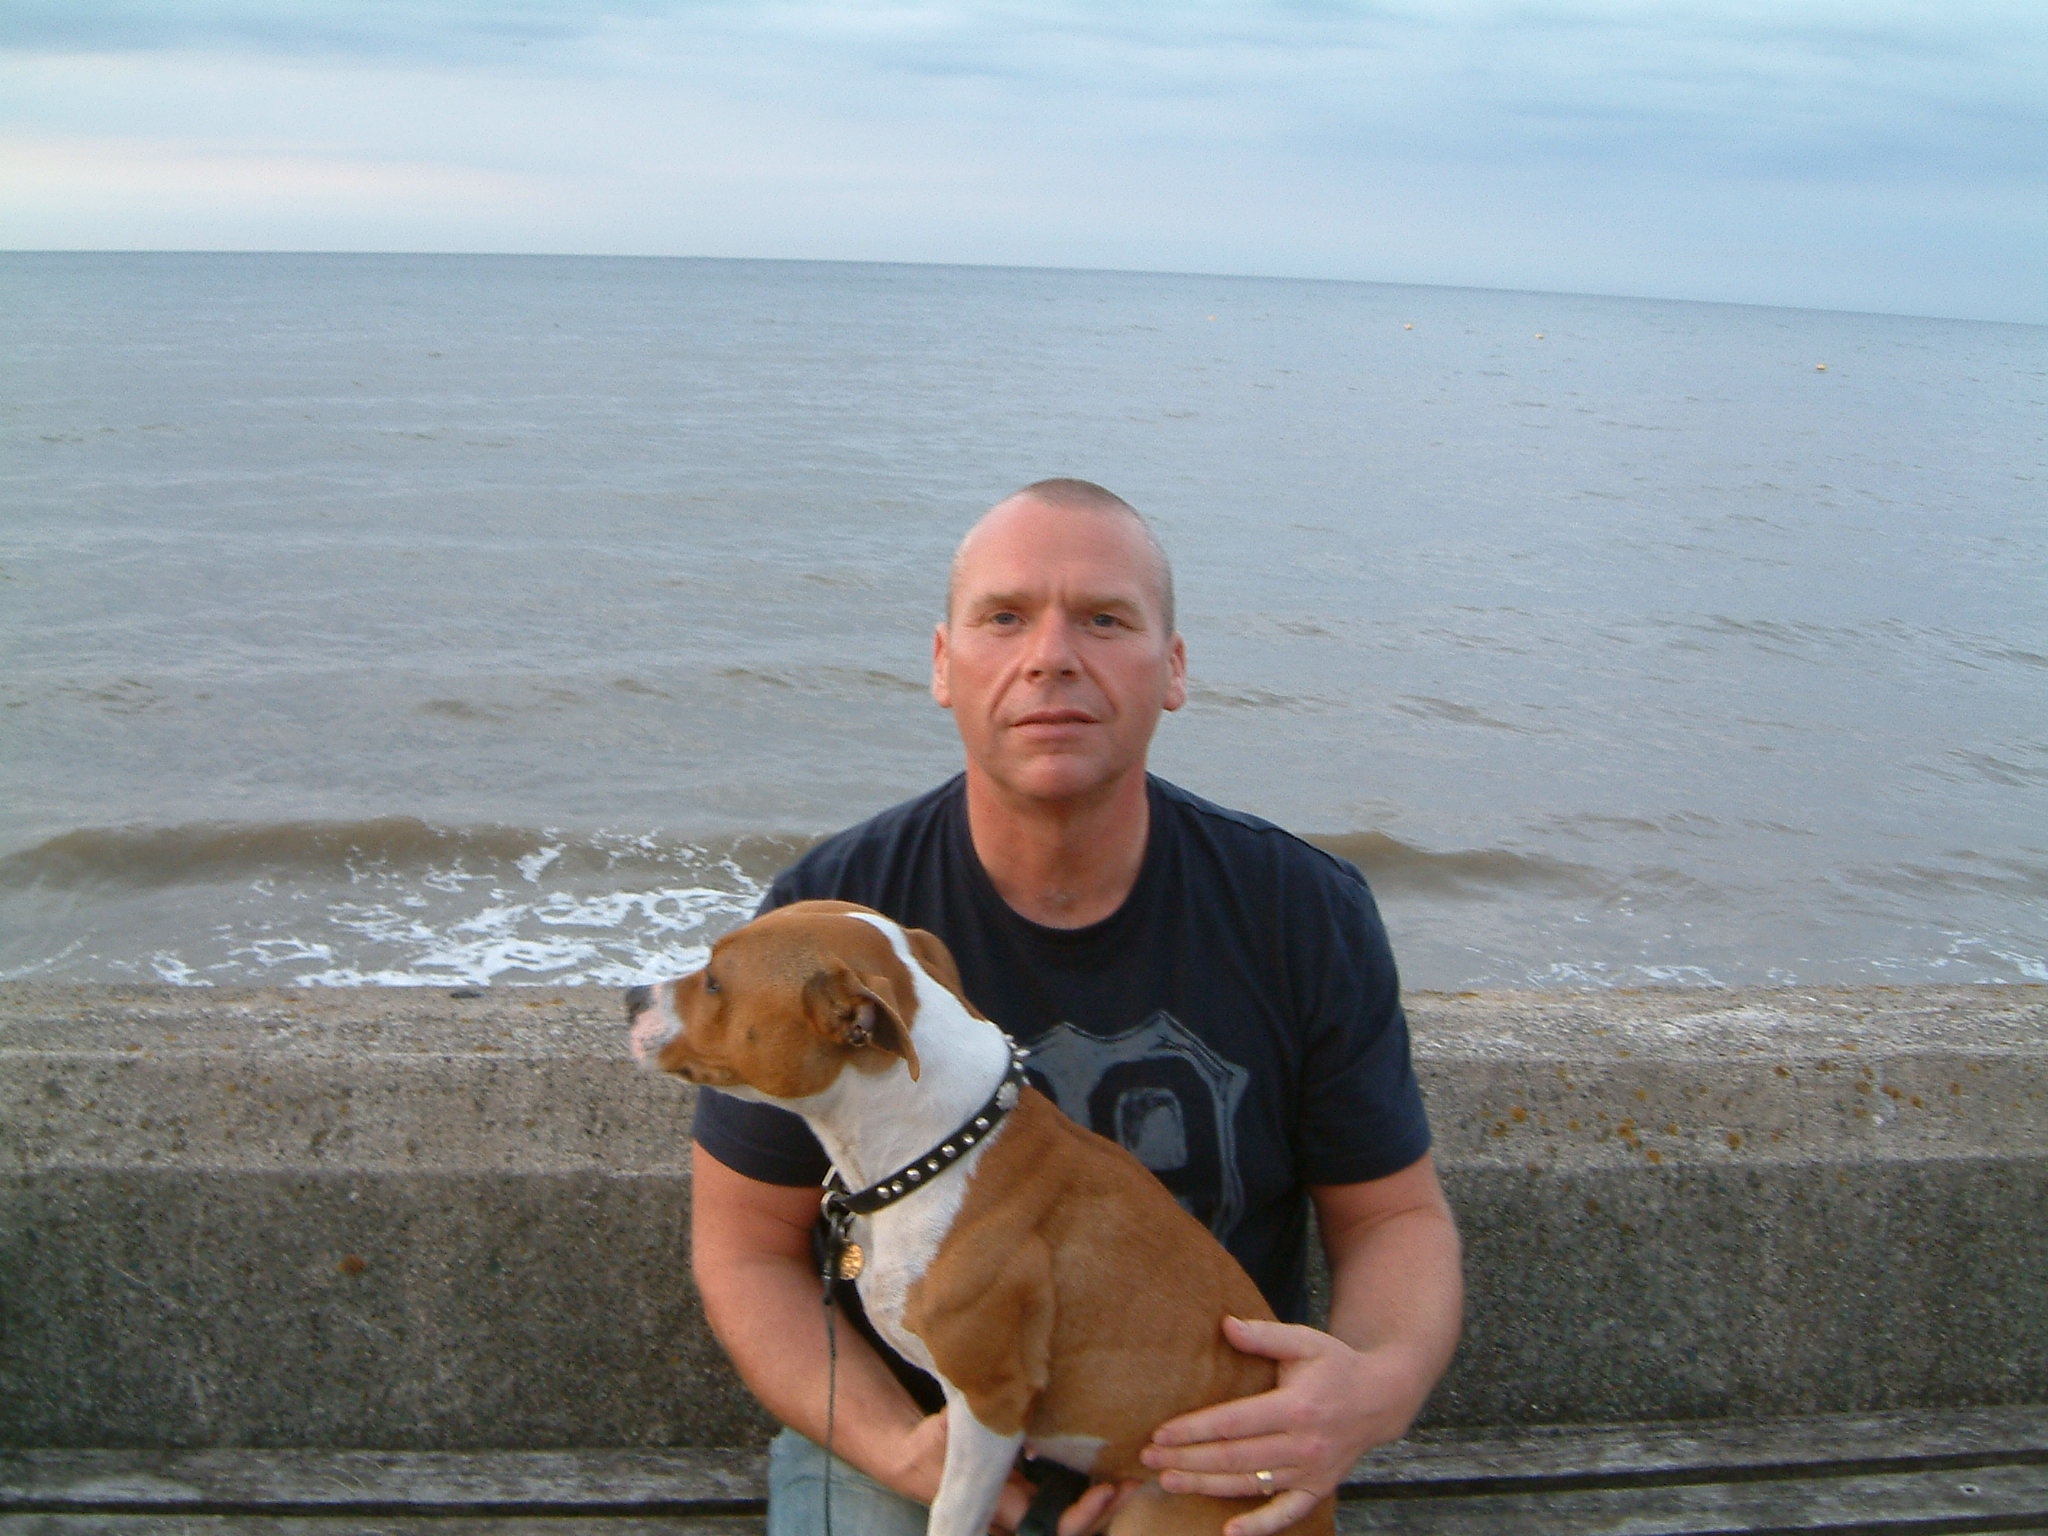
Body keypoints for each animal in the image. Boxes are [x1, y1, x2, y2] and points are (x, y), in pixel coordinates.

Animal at [628, 899, 1336, 1536]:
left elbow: (952, 1512)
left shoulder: (990, 1403)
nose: (632, 996)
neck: (934, 1149)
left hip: (1157, 1510)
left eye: (715, 980)